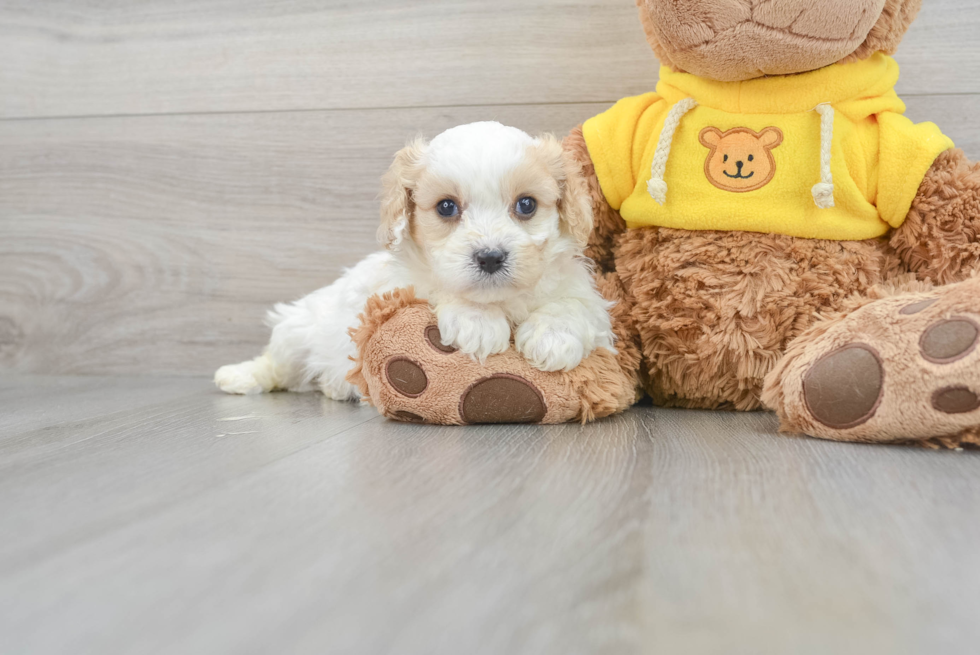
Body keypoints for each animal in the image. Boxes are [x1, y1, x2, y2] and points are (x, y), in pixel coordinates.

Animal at [216, 121, 612, 400]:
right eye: (446, 207)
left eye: (526, 204)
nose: (490, 257)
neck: (501, 299)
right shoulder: (393, 287)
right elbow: (436, 288)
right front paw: (477, 322)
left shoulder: (585, 295)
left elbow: (573, 304)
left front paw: (553, 337)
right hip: (296, 331)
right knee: (274, 366)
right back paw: (237, 377)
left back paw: (335, 386)